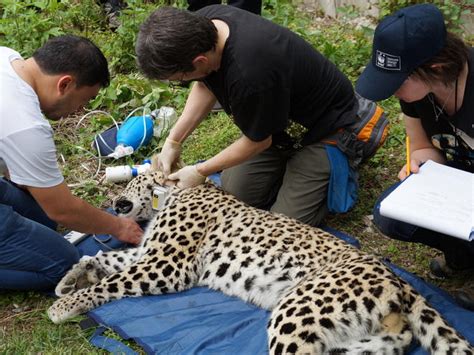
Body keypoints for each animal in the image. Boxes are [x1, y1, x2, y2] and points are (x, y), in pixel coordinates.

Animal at [49, 171, 474, 354]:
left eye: (129, 182)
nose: (114, 198)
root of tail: (396, 278)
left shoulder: (167, 265)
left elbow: (113, 280)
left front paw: (65, 305)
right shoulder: (149, 253)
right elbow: (108, 257)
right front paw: (71, 278)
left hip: (297, 309)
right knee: (396, 340)